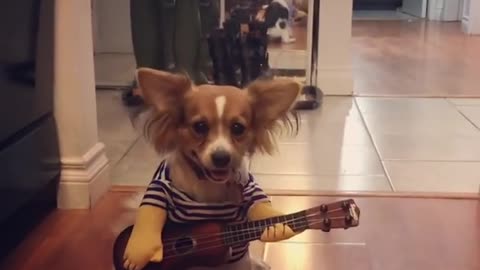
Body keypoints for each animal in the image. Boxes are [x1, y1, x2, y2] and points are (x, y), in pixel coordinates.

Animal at [118, 68, 302, 270]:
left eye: (238, 128)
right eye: (200, 126)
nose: (221, 158)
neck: (208, 183)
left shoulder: (249, 189)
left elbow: (260, 206)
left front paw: (278, 226)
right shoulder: (160, 184)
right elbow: (152, 209)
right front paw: (141, 248)